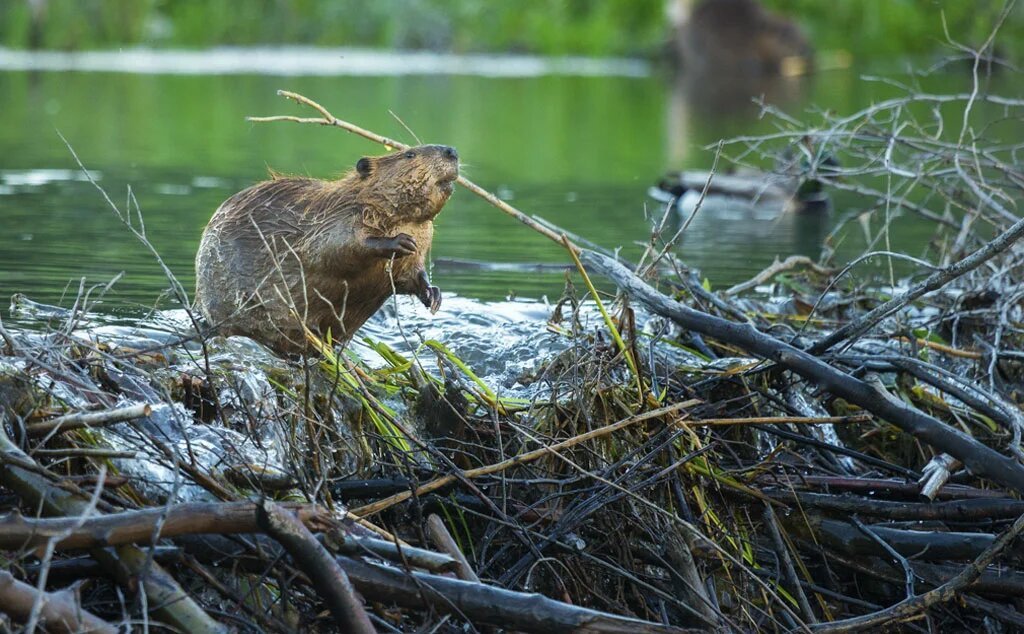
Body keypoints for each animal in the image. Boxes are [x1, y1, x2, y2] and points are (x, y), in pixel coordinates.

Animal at [193, 143, 458, 354]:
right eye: (410, 154)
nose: (451, 151)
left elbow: (411, 275)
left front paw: (434, 295)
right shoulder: (337, 217)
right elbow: (332, 249)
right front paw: (399, 242)